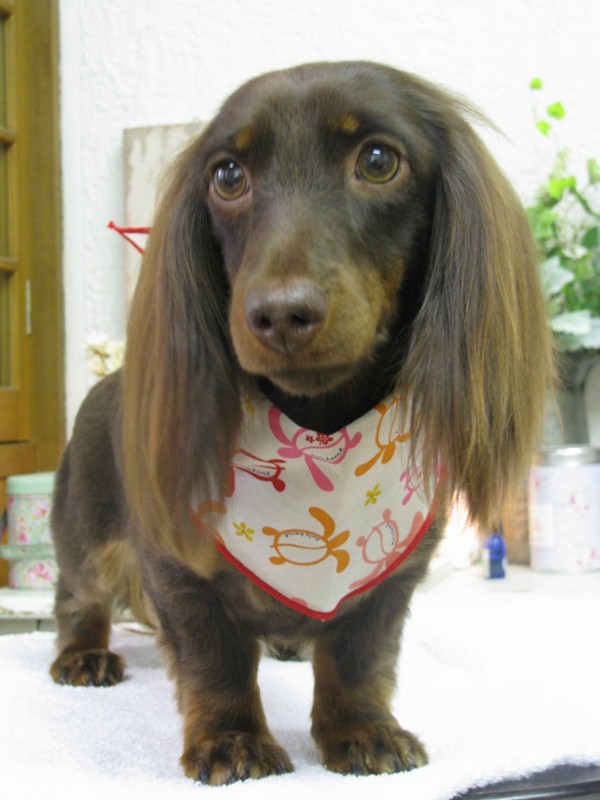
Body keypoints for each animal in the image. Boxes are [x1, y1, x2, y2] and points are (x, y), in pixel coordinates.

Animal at [49, 61, 553, 785]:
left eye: (379, 160)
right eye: (228, 175)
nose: (279, 314)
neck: (317, 423)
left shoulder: (391, 580)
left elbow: (358, 657)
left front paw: (362, 729)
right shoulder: (177, 568)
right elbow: (216, 658)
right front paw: (231, 739)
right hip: (86, 533)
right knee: (78, 594)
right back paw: (83, 653)